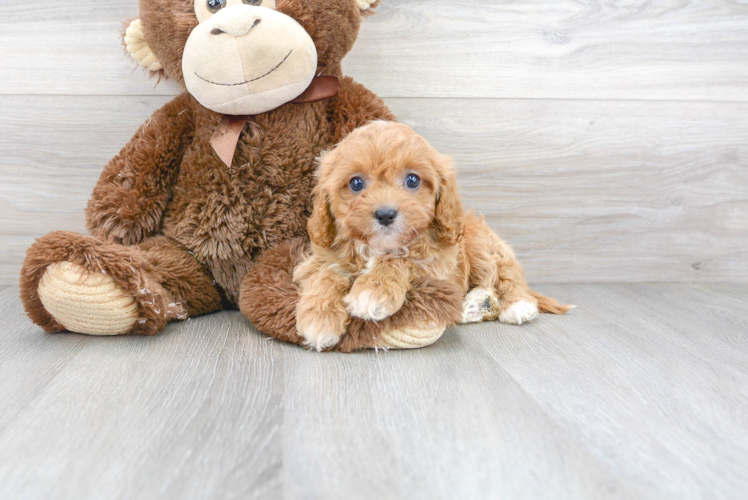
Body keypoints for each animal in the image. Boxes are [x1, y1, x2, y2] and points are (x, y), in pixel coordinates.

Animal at [296, 120, 568, 352]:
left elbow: (400, 259)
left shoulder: (437, 268)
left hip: (482, 244)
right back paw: (477, 305)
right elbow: (327, 273)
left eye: (412, 180)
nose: (385, 214)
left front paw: (374, 289)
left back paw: (516, 305)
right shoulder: (318, 260)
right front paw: (319, 316)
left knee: (506, 275)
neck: (378, 247)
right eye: (356, 183)